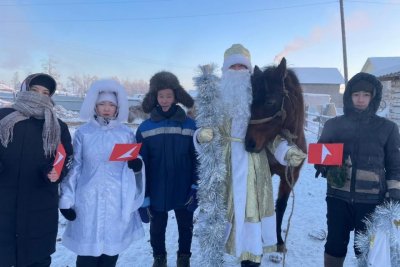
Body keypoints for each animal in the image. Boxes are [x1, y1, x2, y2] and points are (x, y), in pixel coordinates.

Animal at [244, 57, 306, 252]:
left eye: (270, 102)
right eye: (250, 102)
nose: (249, 143)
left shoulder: (291, 176)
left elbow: (281, 206)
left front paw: (279, 240)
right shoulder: (267, 171)